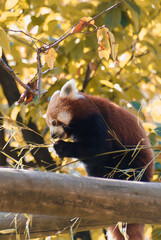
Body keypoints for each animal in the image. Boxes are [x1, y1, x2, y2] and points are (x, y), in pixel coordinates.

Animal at [46, 79, 153, 240]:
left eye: (53, 122)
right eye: (49, 124)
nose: (52, 135)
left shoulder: (95, 120)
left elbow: (99, 149)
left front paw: (62, 147)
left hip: (134, 161)